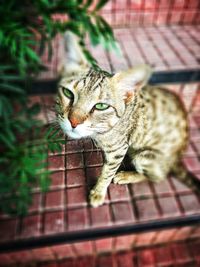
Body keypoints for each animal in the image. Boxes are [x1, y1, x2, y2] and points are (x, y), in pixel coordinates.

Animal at [56, 32, 200, 208]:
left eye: (101, 106)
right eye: (68, 93)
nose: (73, 121)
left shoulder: (118, 149)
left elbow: (107, 172)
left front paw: (98, 192)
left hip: (145, 157)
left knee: (157, 177)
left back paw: (128, 175)